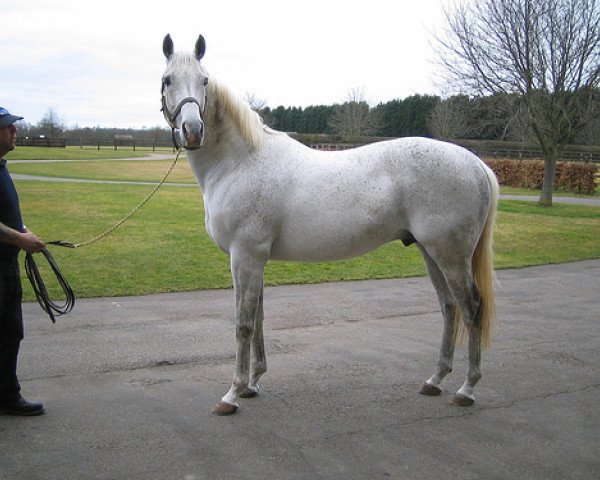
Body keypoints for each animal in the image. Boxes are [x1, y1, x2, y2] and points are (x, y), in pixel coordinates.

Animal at [162, 34, 500, 416]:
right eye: (167, 80)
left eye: (204, 80)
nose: (192, 130)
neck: (241, 161)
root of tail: (476, 164)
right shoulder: (255, 258)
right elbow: (259, 318)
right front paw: (253, 383)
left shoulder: (244, 256)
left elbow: (243, 324)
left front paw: (232, 393)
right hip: (432, 252)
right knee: (449, 308)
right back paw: (435, 380)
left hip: (451, 256)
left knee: (472, 309)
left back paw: (467, 388)